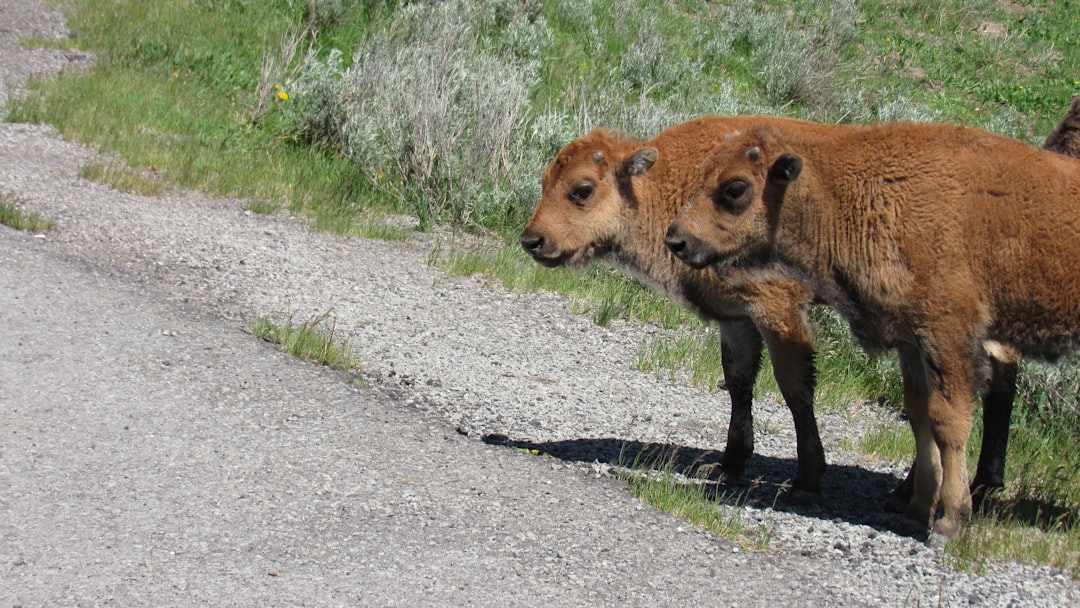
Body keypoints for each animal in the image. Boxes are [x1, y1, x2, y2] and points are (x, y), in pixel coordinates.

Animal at [664, 118, 1080, 539]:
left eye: (736, 188)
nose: (677, 240)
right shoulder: (912, 343)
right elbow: (919, 415)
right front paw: (916, 511)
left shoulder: (948, 335)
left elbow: (949, 421)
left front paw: (948, 522)